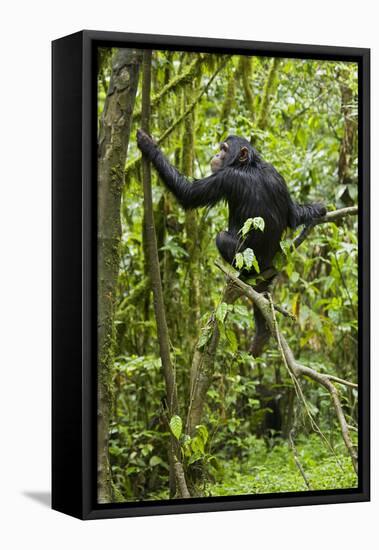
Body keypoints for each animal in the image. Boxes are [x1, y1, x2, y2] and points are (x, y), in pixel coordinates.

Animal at [137, 132, 326, 360]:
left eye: (225, 149)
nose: (217, 154)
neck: (249, 165)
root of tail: (266, 266)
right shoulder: (278, 176)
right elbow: (293, 215)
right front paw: (318, 209)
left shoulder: (226, 177)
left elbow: (188, 193)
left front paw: (148, 145)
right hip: (269, 272)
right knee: (262, 294)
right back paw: (262, 335)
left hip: (250, 262)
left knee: (220, 238)